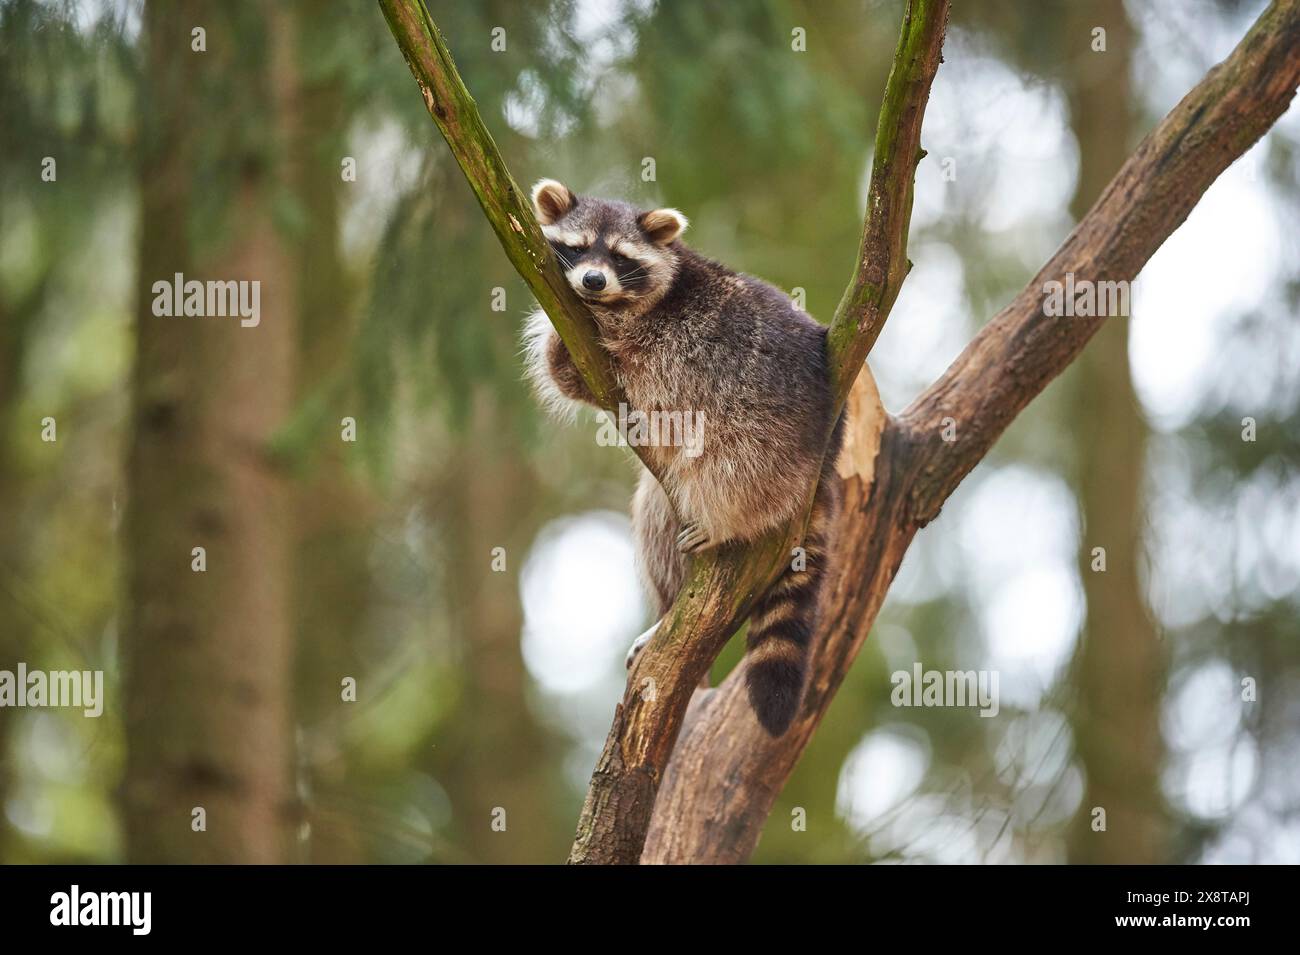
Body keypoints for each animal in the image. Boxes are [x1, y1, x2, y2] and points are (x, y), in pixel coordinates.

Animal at [522, 179, 843, 735]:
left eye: (621, 257)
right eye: (579, 248)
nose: (592, 281)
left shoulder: (640, 331)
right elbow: (571, 377)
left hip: (770, 432)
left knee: (736, 472)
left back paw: (727, 524)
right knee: (655, 514)